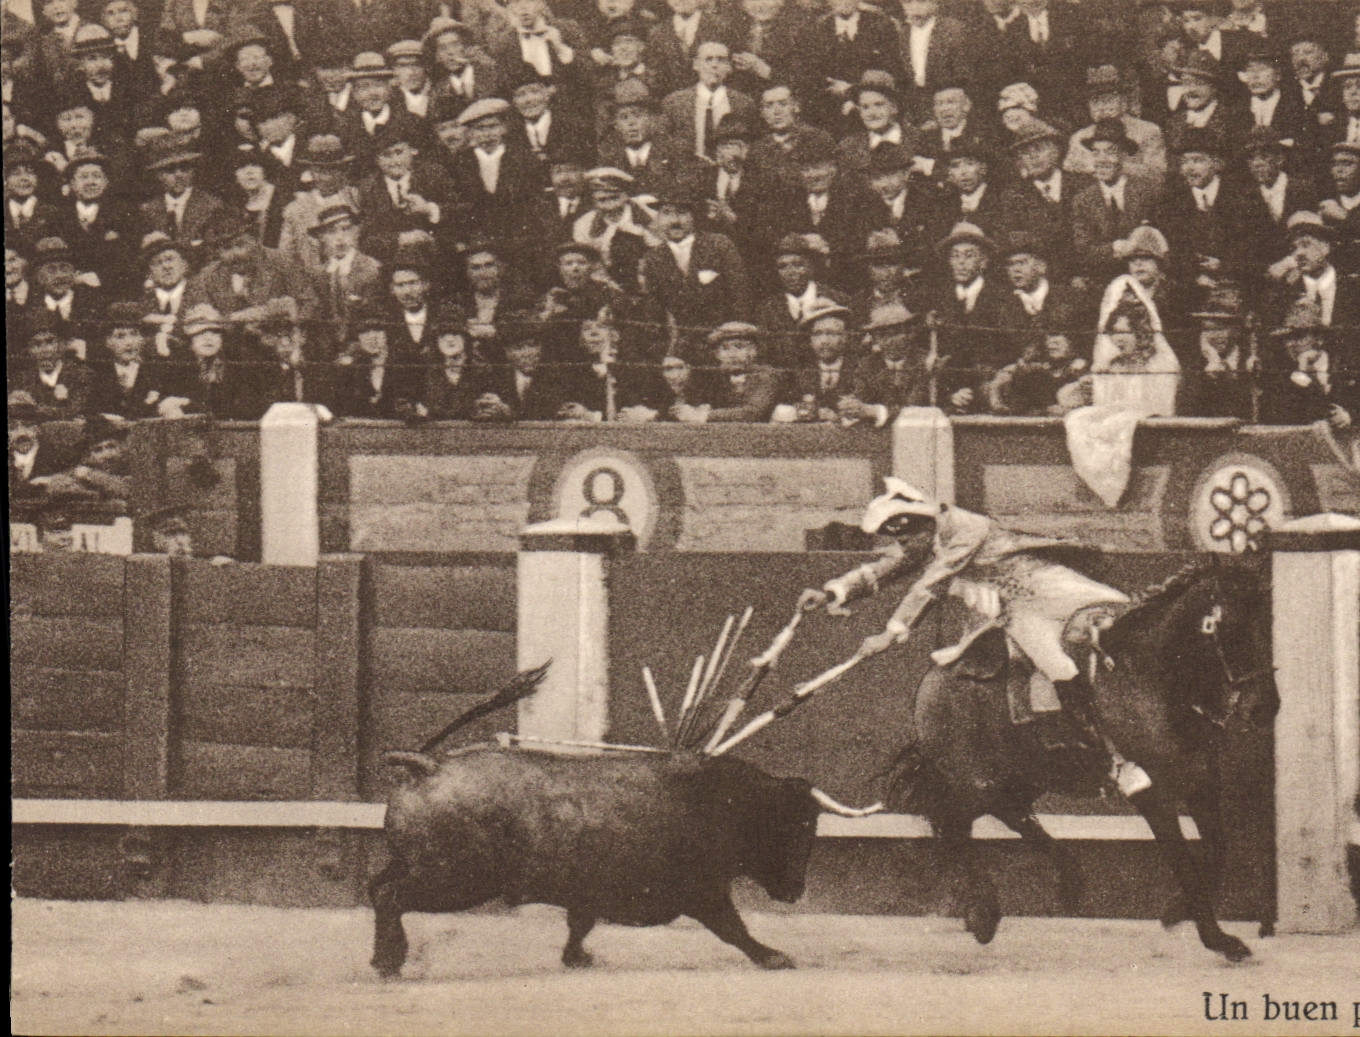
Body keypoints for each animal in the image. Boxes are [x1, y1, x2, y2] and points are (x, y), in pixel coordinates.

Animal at [887, 555, 1279, 962]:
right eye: (1229, 627)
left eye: (1269, 620)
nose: (1265, 707)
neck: (1151, 679)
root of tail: (936, 674)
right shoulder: (1152, 794)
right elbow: (1184, 862)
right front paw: (1220, 940)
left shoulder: (1200, 781)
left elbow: (1218, 850)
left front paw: (1177, 912)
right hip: (979, 780)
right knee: (953, 820)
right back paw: (986, 912)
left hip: (1027, 777)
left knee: (1000, 815)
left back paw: (1060, 881)